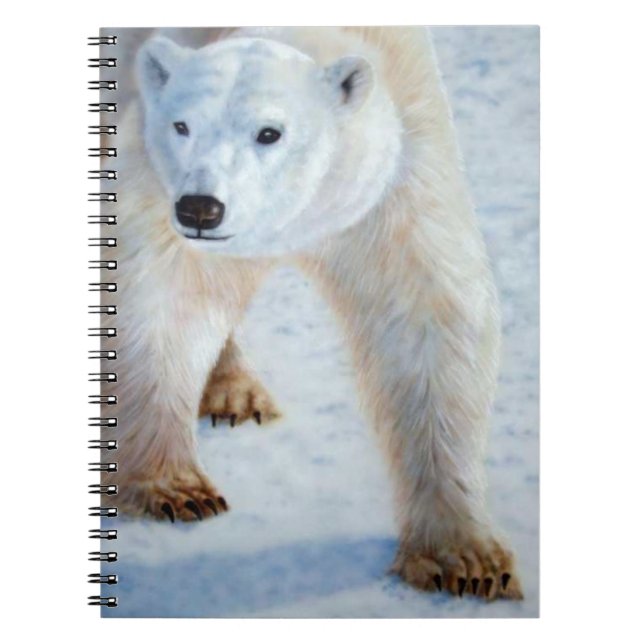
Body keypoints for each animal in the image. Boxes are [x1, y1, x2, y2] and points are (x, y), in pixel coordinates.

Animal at [101, 26, 523, 601]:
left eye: (270, 133)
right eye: (181, 125)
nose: (201, 209)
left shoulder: (399, 165)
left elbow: (427, 313)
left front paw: (466, 560)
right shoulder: (152, 171)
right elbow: (159, 300)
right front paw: (174, 489)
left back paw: (236, 392)